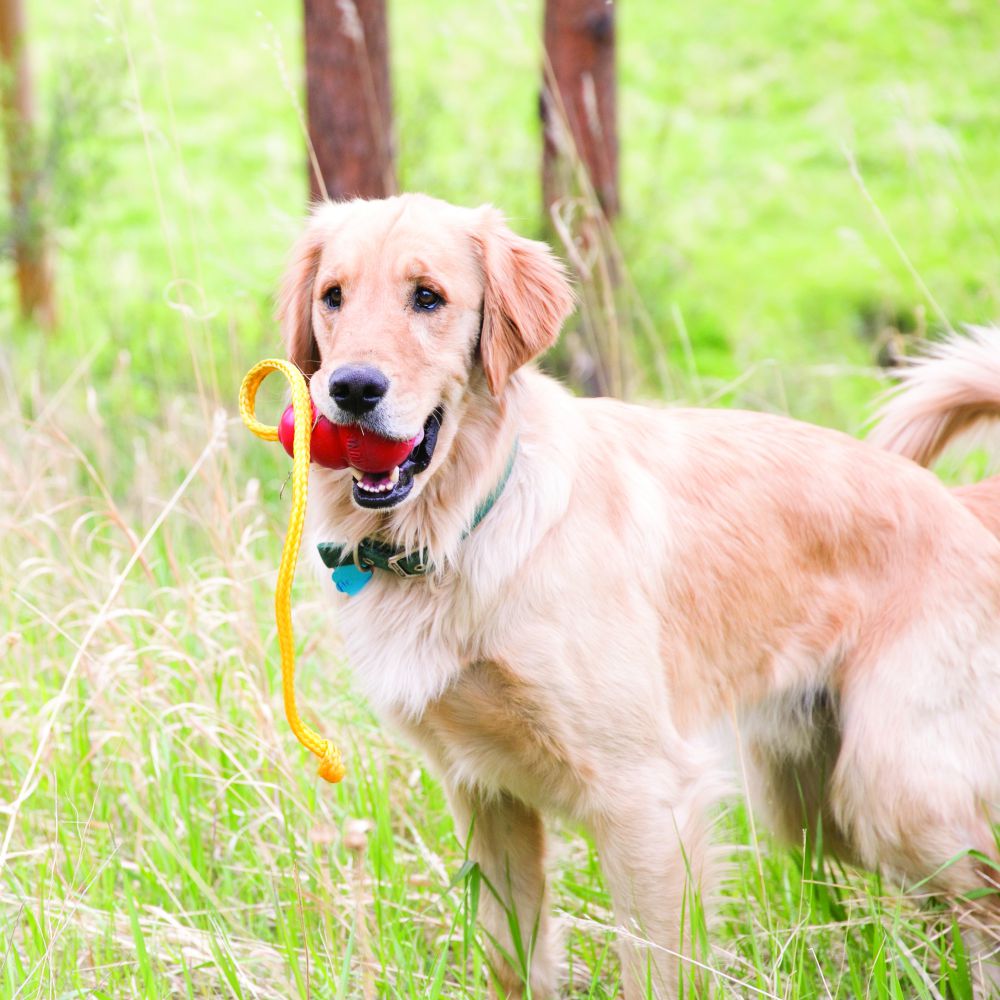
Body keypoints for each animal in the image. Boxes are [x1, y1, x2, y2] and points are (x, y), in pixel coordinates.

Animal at [276, 193, 1000, 992]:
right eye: (332, 297)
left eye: (427, 297)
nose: (351, 389)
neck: (460, 526)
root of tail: (958, 504)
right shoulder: (484, 795)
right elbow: (512, 960)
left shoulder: (645, 794)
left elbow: (655, 967)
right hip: (811, 805)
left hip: (899, 795)